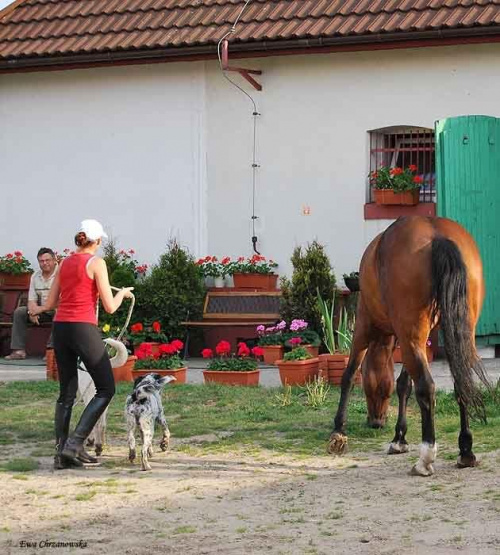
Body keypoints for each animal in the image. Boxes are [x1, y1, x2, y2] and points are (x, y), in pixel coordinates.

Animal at [326, 215, 490, 476]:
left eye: (376, 391)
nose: (376, 422)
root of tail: (437, 235)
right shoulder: (413, 339)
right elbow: (404, 384)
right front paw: (399, 437)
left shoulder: (364, 325)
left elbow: (349, 375)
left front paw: (338, 431)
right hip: (455, 333)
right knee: (461, 383)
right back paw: (466, 451)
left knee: (427, 387)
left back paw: (426, 457)